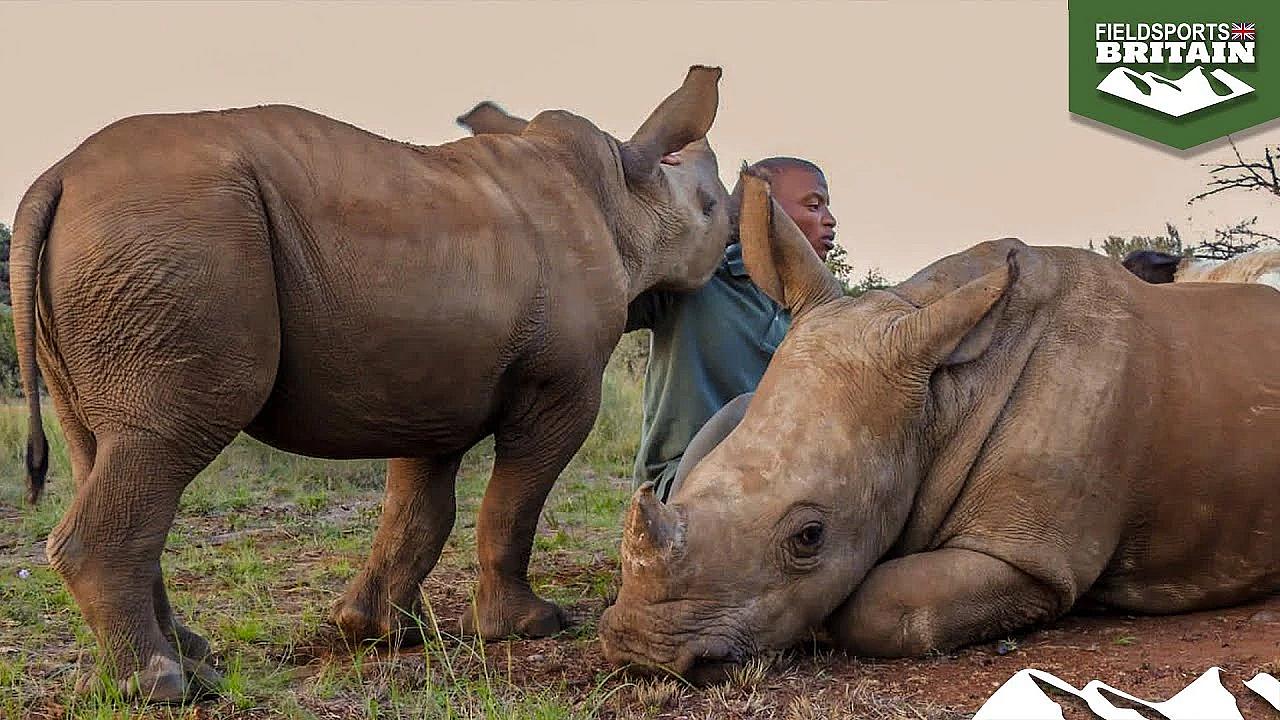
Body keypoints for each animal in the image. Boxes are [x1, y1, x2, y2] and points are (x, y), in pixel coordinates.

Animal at [10, 65, 731, 701]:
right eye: (711, 208)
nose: (730, 247)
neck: (624, 195)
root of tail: (55, 178)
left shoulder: (436, 383)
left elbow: (419, 509)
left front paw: (381, 632)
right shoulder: (560, 384)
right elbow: (514, 500)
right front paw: (527, 627)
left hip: (125, 252)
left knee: (108, 449)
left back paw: (186, 663)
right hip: (167, 239)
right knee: (163, 439)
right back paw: (161, 684)